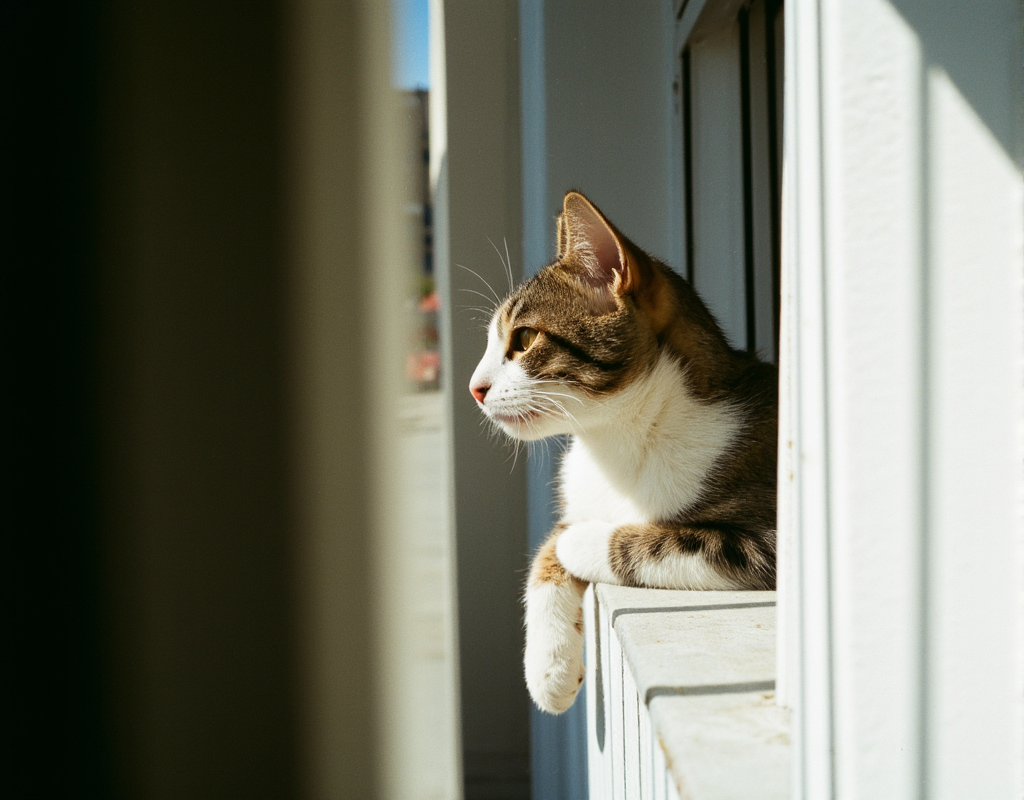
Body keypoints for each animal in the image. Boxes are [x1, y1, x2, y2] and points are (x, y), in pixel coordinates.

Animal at [466, 191, 774, 712]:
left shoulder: (767, 540)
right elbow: (547, 551)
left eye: (524, 339)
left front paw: (582, 542)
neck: (616, 443)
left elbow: (646, 540)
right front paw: (548, 668)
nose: (474, 388)